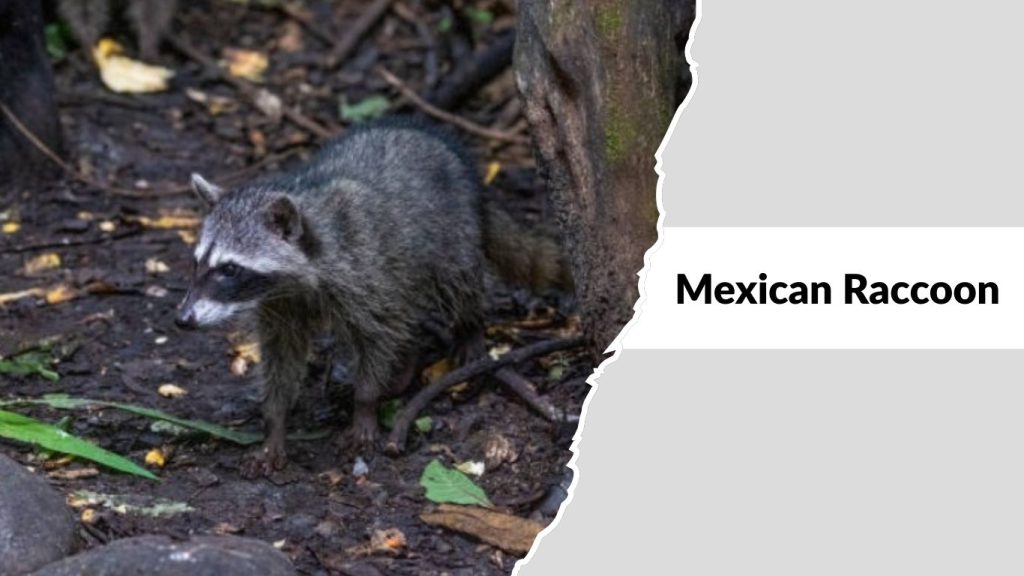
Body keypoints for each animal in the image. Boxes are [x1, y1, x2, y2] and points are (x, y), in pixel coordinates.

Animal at [176, 118, 571, 477]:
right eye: (197, 263)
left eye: (229, 269)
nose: (182, 320)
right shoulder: (279, 306)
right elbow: (280, 360)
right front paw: (274, 425)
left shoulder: (362, 273)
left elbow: (378, 334)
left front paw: (364, 405)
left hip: (449, 234)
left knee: (455, 285)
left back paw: (466, 329)